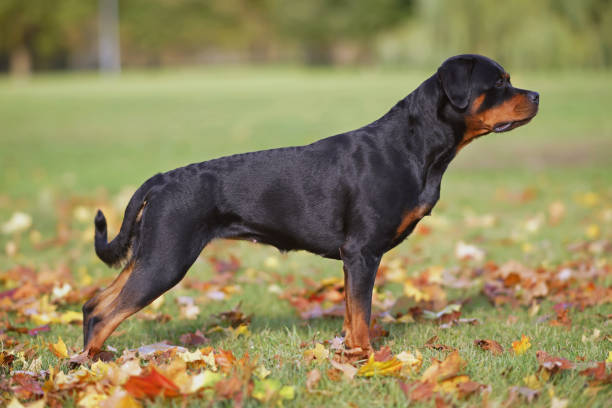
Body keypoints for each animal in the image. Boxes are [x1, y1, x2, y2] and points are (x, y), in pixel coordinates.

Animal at [83, 54, 536, 356]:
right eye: (499, 83)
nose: (536, 94)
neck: (413, 144)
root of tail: (161, 180)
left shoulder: (356, 257)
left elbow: (353, 315)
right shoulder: (361, 252)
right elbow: (361, 315)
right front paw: (366, 361)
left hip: (149, 256)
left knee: (93, 305)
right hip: (166, 260)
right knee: (106, 313)